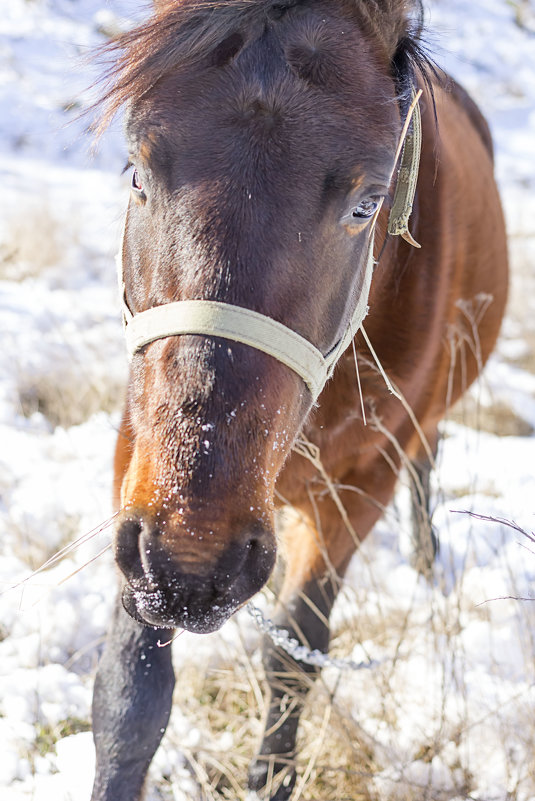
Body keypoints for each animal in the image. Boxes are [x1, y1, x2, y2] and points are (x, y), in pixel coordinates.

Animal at [90, 1, 508, 800]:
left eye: (366, 204)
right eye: (136, 172)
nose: (194, 557)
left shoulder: (360, 486)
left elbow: (296, 654)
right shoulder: (137, 469)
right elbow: (129, 698)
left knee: (429, 451)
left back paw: (424, 558)